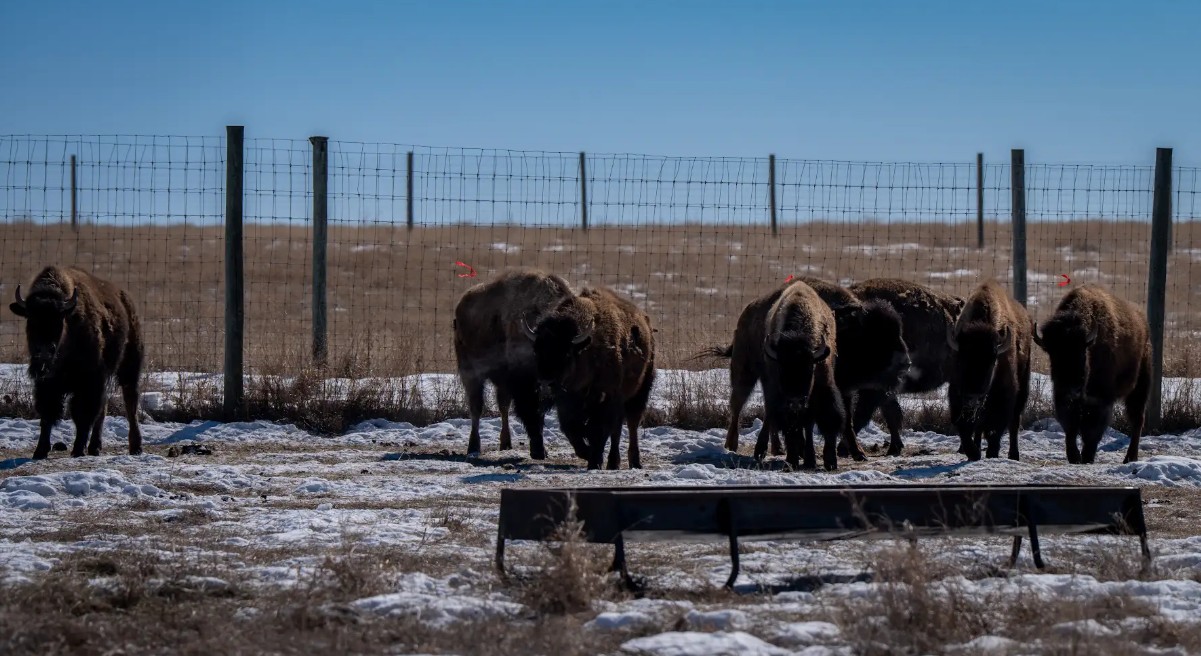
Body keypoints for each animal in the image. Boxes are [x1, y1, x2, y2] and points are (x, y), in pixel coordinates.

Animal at [10, 266, 144, 459]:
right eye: (31, 318)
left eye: (59, 319)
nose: (44, 351)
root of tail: (125, 299)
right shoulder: (47, 384)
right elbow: (47, 414)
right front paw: (40, 451)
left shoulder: (89, 381)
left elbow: (82, 415)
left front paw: (78, 450)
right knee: (103, 408)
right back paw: (95, 447)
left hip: (129, 366)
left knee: (130, 401)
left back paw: (135, 447)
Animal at [452, 268, 583, 459]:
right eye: (538, 352)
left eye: (569, 354)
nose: (551, 382)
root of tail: (461, 305)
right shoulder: (525, 385)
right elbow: (531, 413)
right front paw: (538, 450)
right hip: (471, 373)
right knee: (476, 407)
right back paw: (474, 447)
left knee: (503, 406)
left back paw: (505, 443)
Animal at [524, 286, 655, 469]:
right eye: (537, 351)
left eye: (566, 354)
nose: (545, 383)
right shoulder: (566, 404)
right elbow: (572, 429)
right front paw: (588, 454)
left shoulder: (605, 399)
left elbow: (597, 430)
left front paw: (594, 461)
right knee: (617, 430)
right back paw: (613, 463)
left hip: (640, 392)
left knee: (631, 425)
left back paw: (633, 462)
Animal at [946, 279, 1033, 461]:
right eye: (961, 359)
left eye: (993, 361)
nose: (973, 397)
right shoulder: (957, 394)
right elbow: (964, 427)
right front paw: (973, 452)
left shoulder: (1005, 396)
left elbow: (998, 427)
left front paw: (991, 452)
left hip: (1023, 390)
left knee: (1014, 423)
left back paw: (1013, 455)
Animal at [1033, 284, 1152, 464]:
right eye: (1052, 354)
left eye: (1083, 353)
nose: (1072, 389)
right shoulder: (1063, 399)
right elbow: (1070, 426)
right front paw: (1075, 456)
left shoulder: (1100, 398)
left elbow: (1092, 428)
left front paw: (1087, 456)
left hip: (1140, 387)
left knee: (1137, 420)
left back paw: (1130, 458)